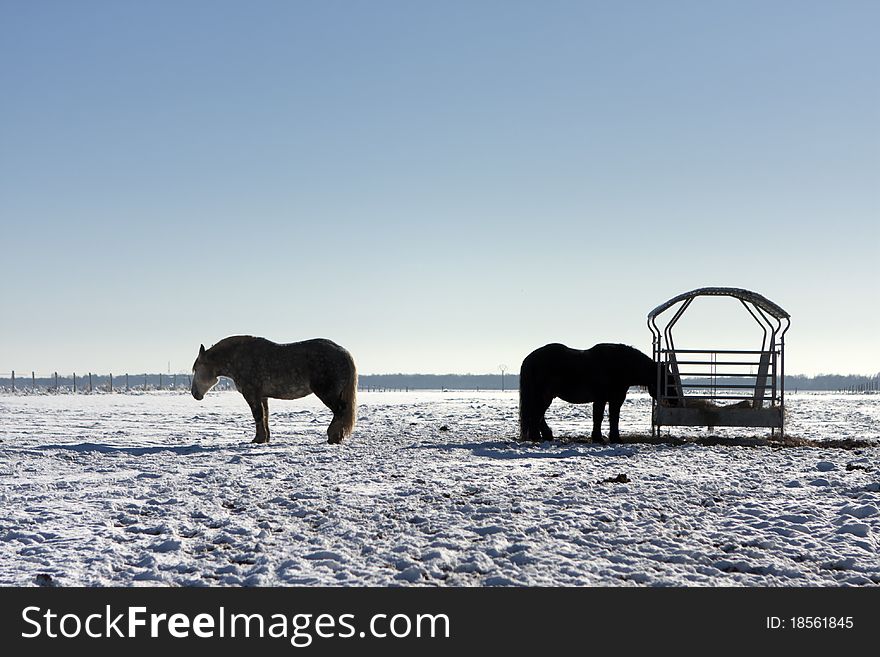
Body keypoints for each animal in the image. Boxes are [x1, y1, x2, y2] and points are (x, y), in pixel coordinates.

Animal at [520, 344, 676, 440]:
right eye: (669, 380)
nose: (674, 400)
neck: (619, 365)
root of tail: (530, 359)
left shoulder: (613, 400)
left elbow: (611, 417)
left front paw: (610, 438)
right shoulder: (604, 399)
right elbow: (601, 417)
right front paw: (601, 438)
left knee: (538, 415)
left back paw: (546, 436)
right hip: (543, 396)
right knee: (536, 415)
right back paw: (537, 437)